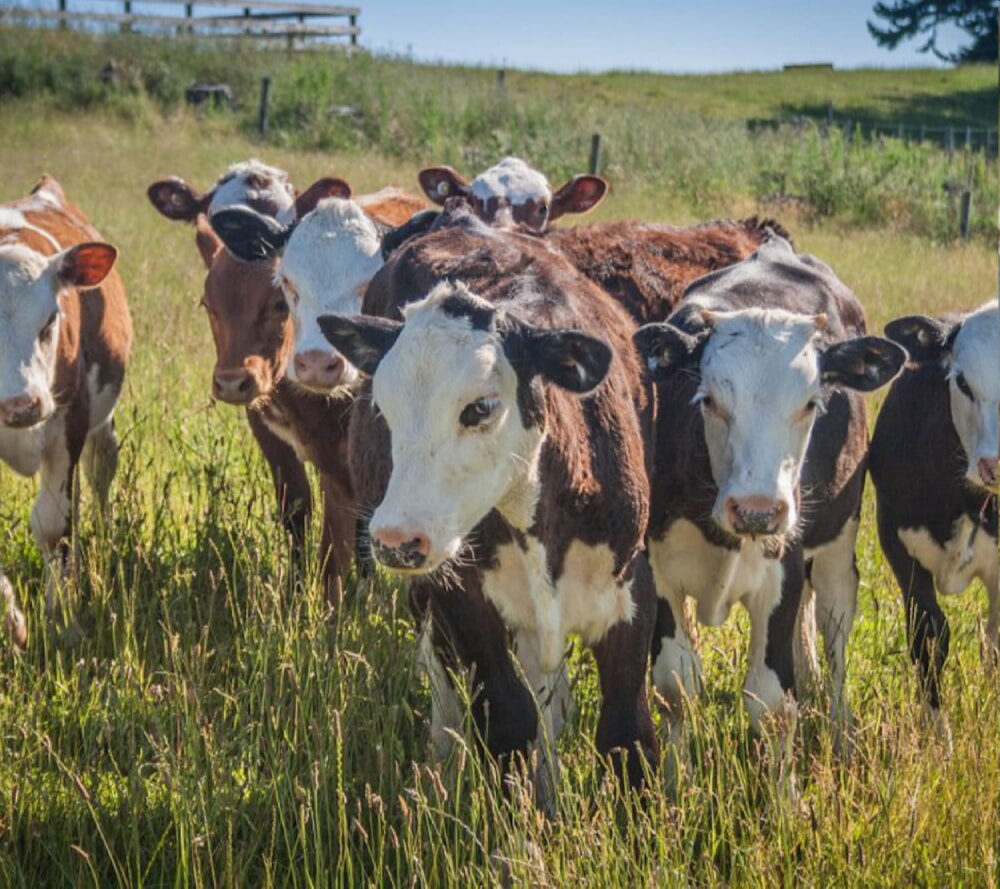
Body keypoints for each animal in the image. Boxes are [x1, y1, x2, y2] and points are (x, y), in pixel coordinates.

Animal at [0, 175, 133, 644]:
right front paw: (13, 619)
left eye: (49, 321)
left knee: (98, 473)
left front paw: (61, 618)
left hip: (99, 425)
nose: (21, 406)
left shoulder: (68, 425)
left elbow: (53, 524)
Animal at [320, 210, 660, 796]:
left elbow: (626, 734)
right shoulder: (461, 596)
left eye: (479, 407)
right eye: (381, 405)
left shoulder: (630, 587)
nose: (396, 539)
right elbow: (509, 720)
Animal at [636, 232, 912, 768]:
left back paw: (841, 733)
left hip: (836, 542)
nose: (757, 509)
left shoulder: (781, 568)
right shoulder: (659, 567)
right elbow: (676, 685)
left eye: (811, 403)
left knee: (834, 627)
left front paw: (785, 790)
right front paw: (674, 781)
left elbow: (772, 704)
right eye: (708, 399)